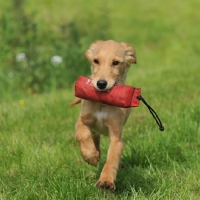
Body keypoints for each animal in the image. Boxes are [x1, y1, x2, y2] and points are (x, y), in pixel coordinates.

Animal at [72, 39, 137, 190]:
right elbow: (82, 134)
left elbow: (112, 159)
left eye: (116, 62)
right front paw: (90, 155)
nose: (101, 84)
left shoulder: (116, 136)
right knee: (93, 135)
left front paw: (106, 181)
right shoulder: (83, 120)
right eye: (96, 61)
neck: (102, 103)